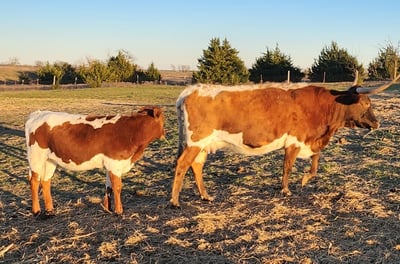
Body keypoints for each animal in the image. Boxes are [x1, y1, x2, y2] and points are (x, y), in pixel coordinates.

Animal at [24, 106, 165, 216]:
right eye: (163, 121)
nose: (164, 134)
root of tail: (38, 113)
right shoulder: (114, 163)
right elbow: (117, 187)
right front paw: (119, 211)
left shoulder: (111, 165)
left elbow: (109, 187)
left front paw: (108, 208)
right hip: (36, 157)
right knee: (35, 181)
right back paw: (36, 211)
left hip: (50, 160)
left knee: (45, 181)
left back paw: (50, 210)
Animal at [170, 75, 400, 207]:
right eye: (366, 103)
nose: (377, 123)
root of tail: (190, 91)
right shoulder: (295, 141)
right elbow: (288, 167)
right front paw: (286, 189)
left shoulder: (309, 141)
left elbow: (316, 162)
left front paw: (305, 179)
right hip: (196, 141)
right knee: (182, 164)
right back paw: (175, 201)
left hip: (202, 145)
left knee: (196, 166)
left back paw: (205, 196)